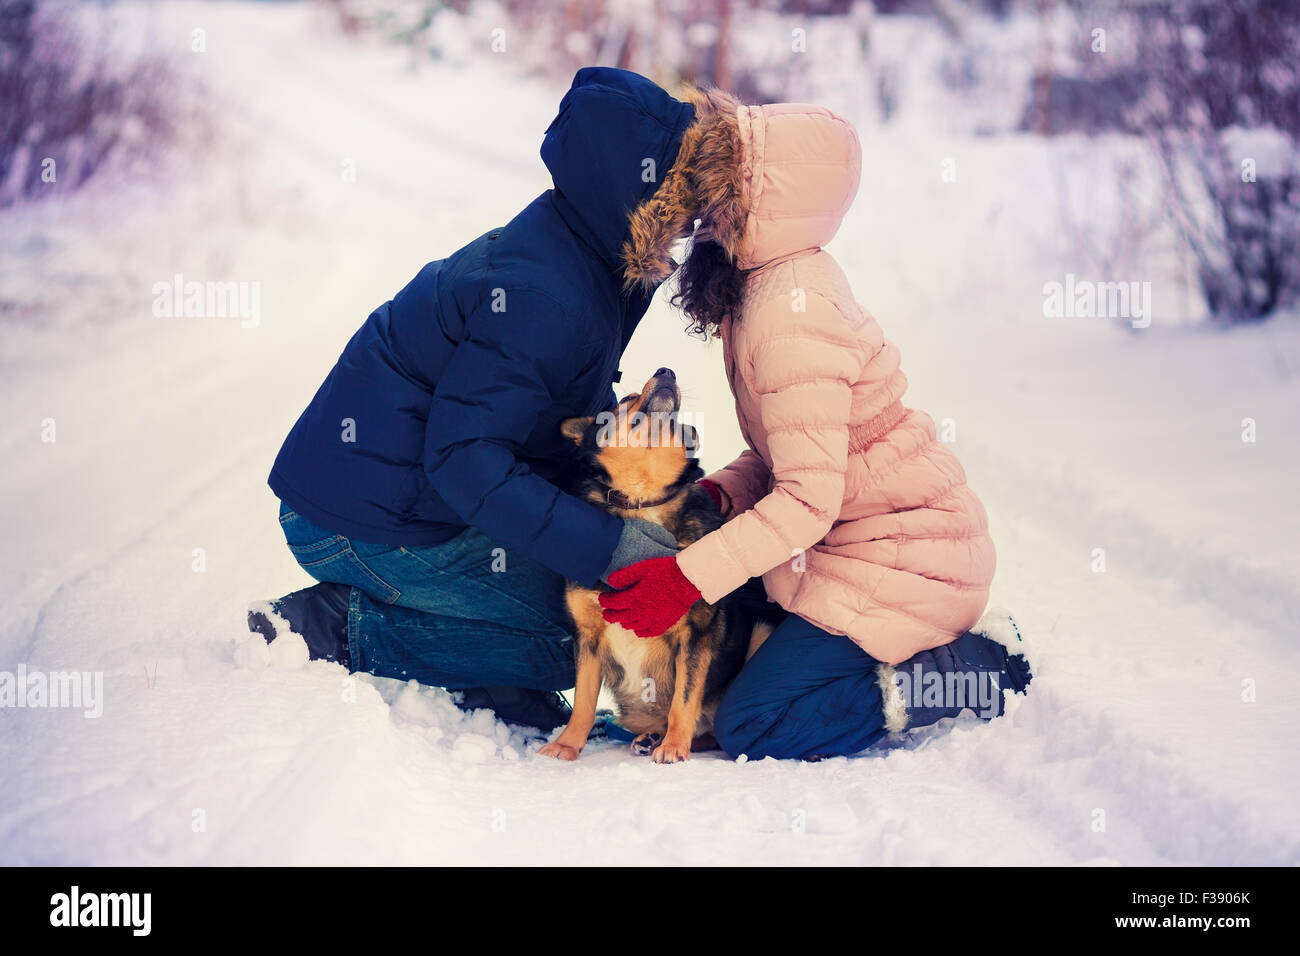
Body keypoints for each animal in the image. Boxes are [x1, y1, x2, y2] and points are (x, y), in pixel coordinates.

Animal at [538, 366, 780, 764]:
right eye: (625, 399)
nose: (666, 371)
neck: (643, 497)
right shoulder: (587, 636)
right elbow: (584, 703)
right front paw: (568, 744)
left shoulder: (696, 634)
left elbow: (684, 698)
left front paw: (674, 747)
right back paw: (651, 736)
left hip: (758, 633)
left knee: (714, 730)